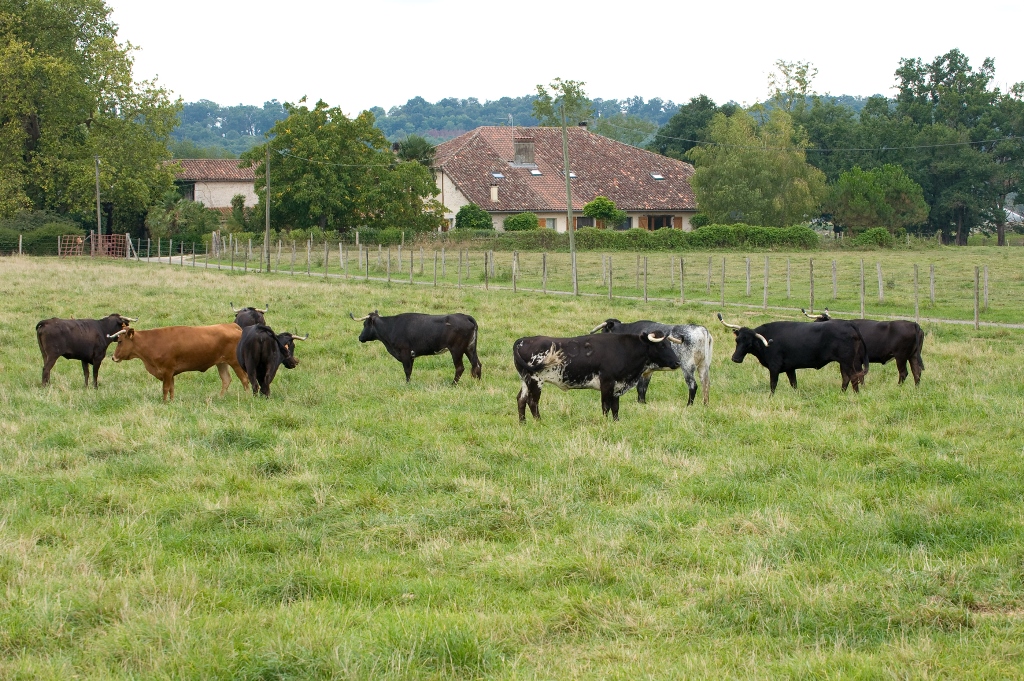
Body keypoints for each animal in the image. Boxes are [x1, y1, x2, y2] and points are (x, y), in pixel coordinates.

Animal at [109, 323, 249, 399]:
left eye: (120, 341)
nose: (113, 357)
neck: (153, 342)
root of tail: (231, 325)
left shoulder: (167, 370)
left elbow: (165, 388)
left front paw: (164, 402)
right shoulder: (170, 373)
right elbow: (171, 388)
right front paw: (171, 402)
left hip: (235, 362)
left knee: (244, 380)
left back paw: (247, 397)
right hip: (221, 363)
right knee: (226, 380)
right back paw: (220, 397)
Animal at [516, 329, 684, 419]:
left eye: (669, 344)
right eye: (661, 345)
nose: (678, 363)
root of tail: (524, 340)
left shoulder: (617, 386)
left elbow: (615, 408)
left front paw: (616, 422)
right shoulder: (607, 383)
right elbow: (606, 406)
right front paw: (605, 422)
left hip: (525, 380)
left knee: (521, 400)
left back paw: (523, 423)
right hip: (535, 381)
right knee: (532, 402)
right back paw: (539, 422)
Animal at [716, 313, 868, 393]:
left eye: (749, 344)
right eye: (737, 340)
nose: (735, 358)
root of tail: (848, 323)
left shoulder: (774, 367)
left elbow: (773, 385)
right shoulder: (790, 368)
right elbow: (794, 384)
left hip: (847, 361)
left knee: (854, 377)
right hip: (843, 363)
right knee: (846, 378)